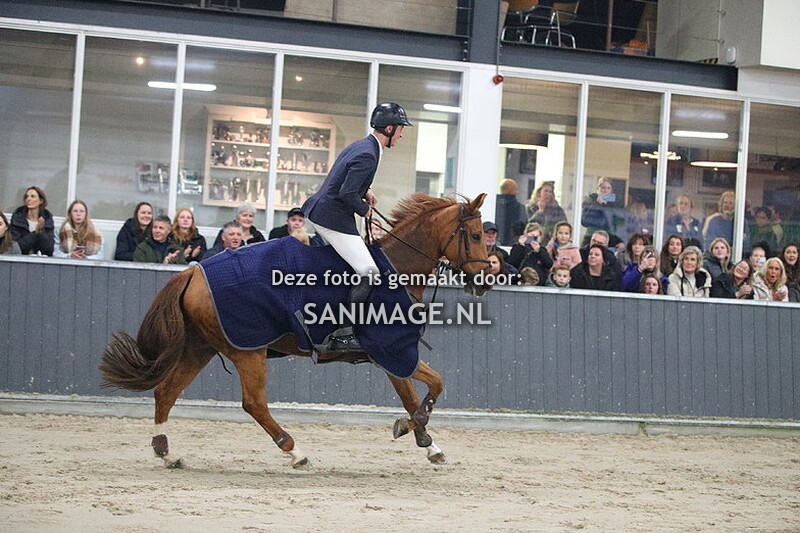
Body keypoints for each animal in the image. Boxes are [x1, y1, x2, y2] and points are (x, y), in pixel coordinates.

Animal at [100, 193, 490, 469]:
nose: (485, 280)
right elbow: (433, 386)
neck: (398, 266)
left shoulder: (392, 355)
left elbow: (414, 397)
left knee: (167, 391)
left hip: (201, 347)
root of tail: (193, 271)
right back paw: (295, 451)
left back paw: (166, 452)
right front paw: (413, 430)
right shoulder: (391, 349)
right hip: (248, 349)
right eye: (474, 235)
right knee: (253, 403)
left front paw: (429, 445)